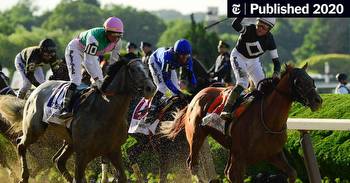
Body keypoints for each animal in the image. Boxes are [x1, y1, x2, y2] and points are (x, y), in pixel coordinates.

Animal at [0, 59, 156, 182]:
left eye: (147, 69)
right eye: (134, 70)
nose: (151, 88)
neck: (105, 112)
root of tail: (36, 90)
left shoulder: (114, 151)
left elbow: (122, 177)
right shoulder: (82, 154)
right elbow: (79, 177)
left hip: (69, 141)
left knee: (59, 161)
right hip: (35, 129)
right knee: (21, 145)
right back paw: (24, 176)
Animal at [161, 63, 322, 182]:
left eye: (312, 80)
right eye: (298, 82)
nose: (318, 101)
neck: (268, 120)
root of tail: (194, 97)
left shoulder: (273, 153)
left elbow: (292, 173)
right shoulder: (239, 157)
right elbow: (234, 175)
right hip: (196, 137)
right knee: (193, 164)